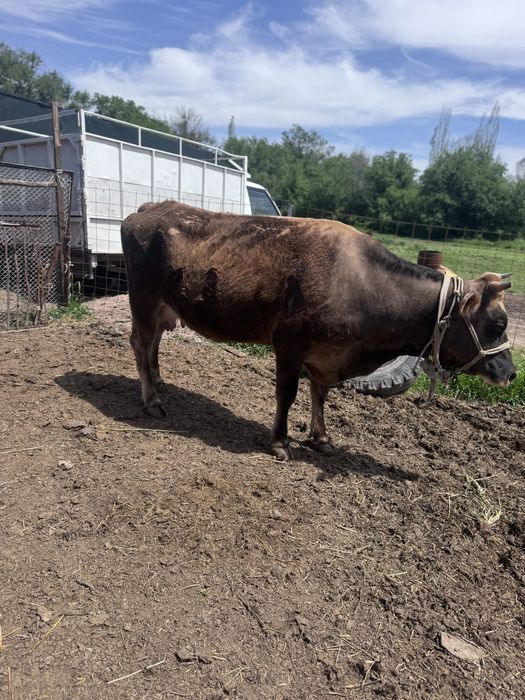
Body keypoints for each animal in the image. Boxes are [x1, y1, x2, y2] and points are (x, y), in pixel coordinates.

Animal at [121, 201, 516, 460]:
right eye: (498, 324)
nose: (511, 373)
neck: (363, 283)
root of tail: (152, 207)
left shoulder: (329, 353)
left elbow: (320, 395)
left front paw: (321, 437)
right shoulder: (289, 343)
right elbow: (287, 394)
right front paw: (280, 442)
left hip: (163, 307)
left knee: (153, 344)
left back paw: (159, 384)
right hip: (142, 298)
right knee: (141, 344)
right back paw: (151, 400)